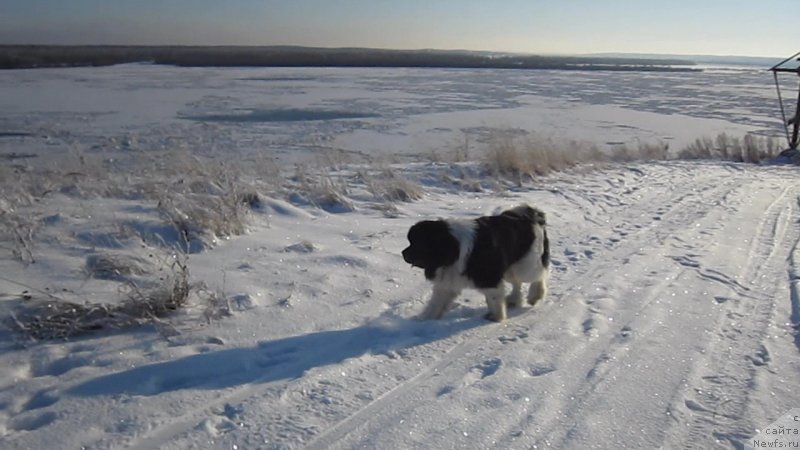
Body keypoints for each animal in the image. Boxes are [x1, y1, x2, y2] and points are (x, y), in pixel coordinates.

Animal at [404, 206, 548, 322]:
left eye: (417, 243)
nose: (403, 253)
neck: (453, 248)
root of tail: (531, 214)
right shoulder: (447, 283)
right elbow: (436, 303)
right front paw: (424, 320)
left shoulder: (489, 278)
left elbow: (493, 298)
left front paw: (496, 317)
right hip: (510, 268)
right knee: (517, 282)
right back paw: (514, 299)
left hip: (525, 265)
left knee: (539, 274)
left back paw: (535, 295)